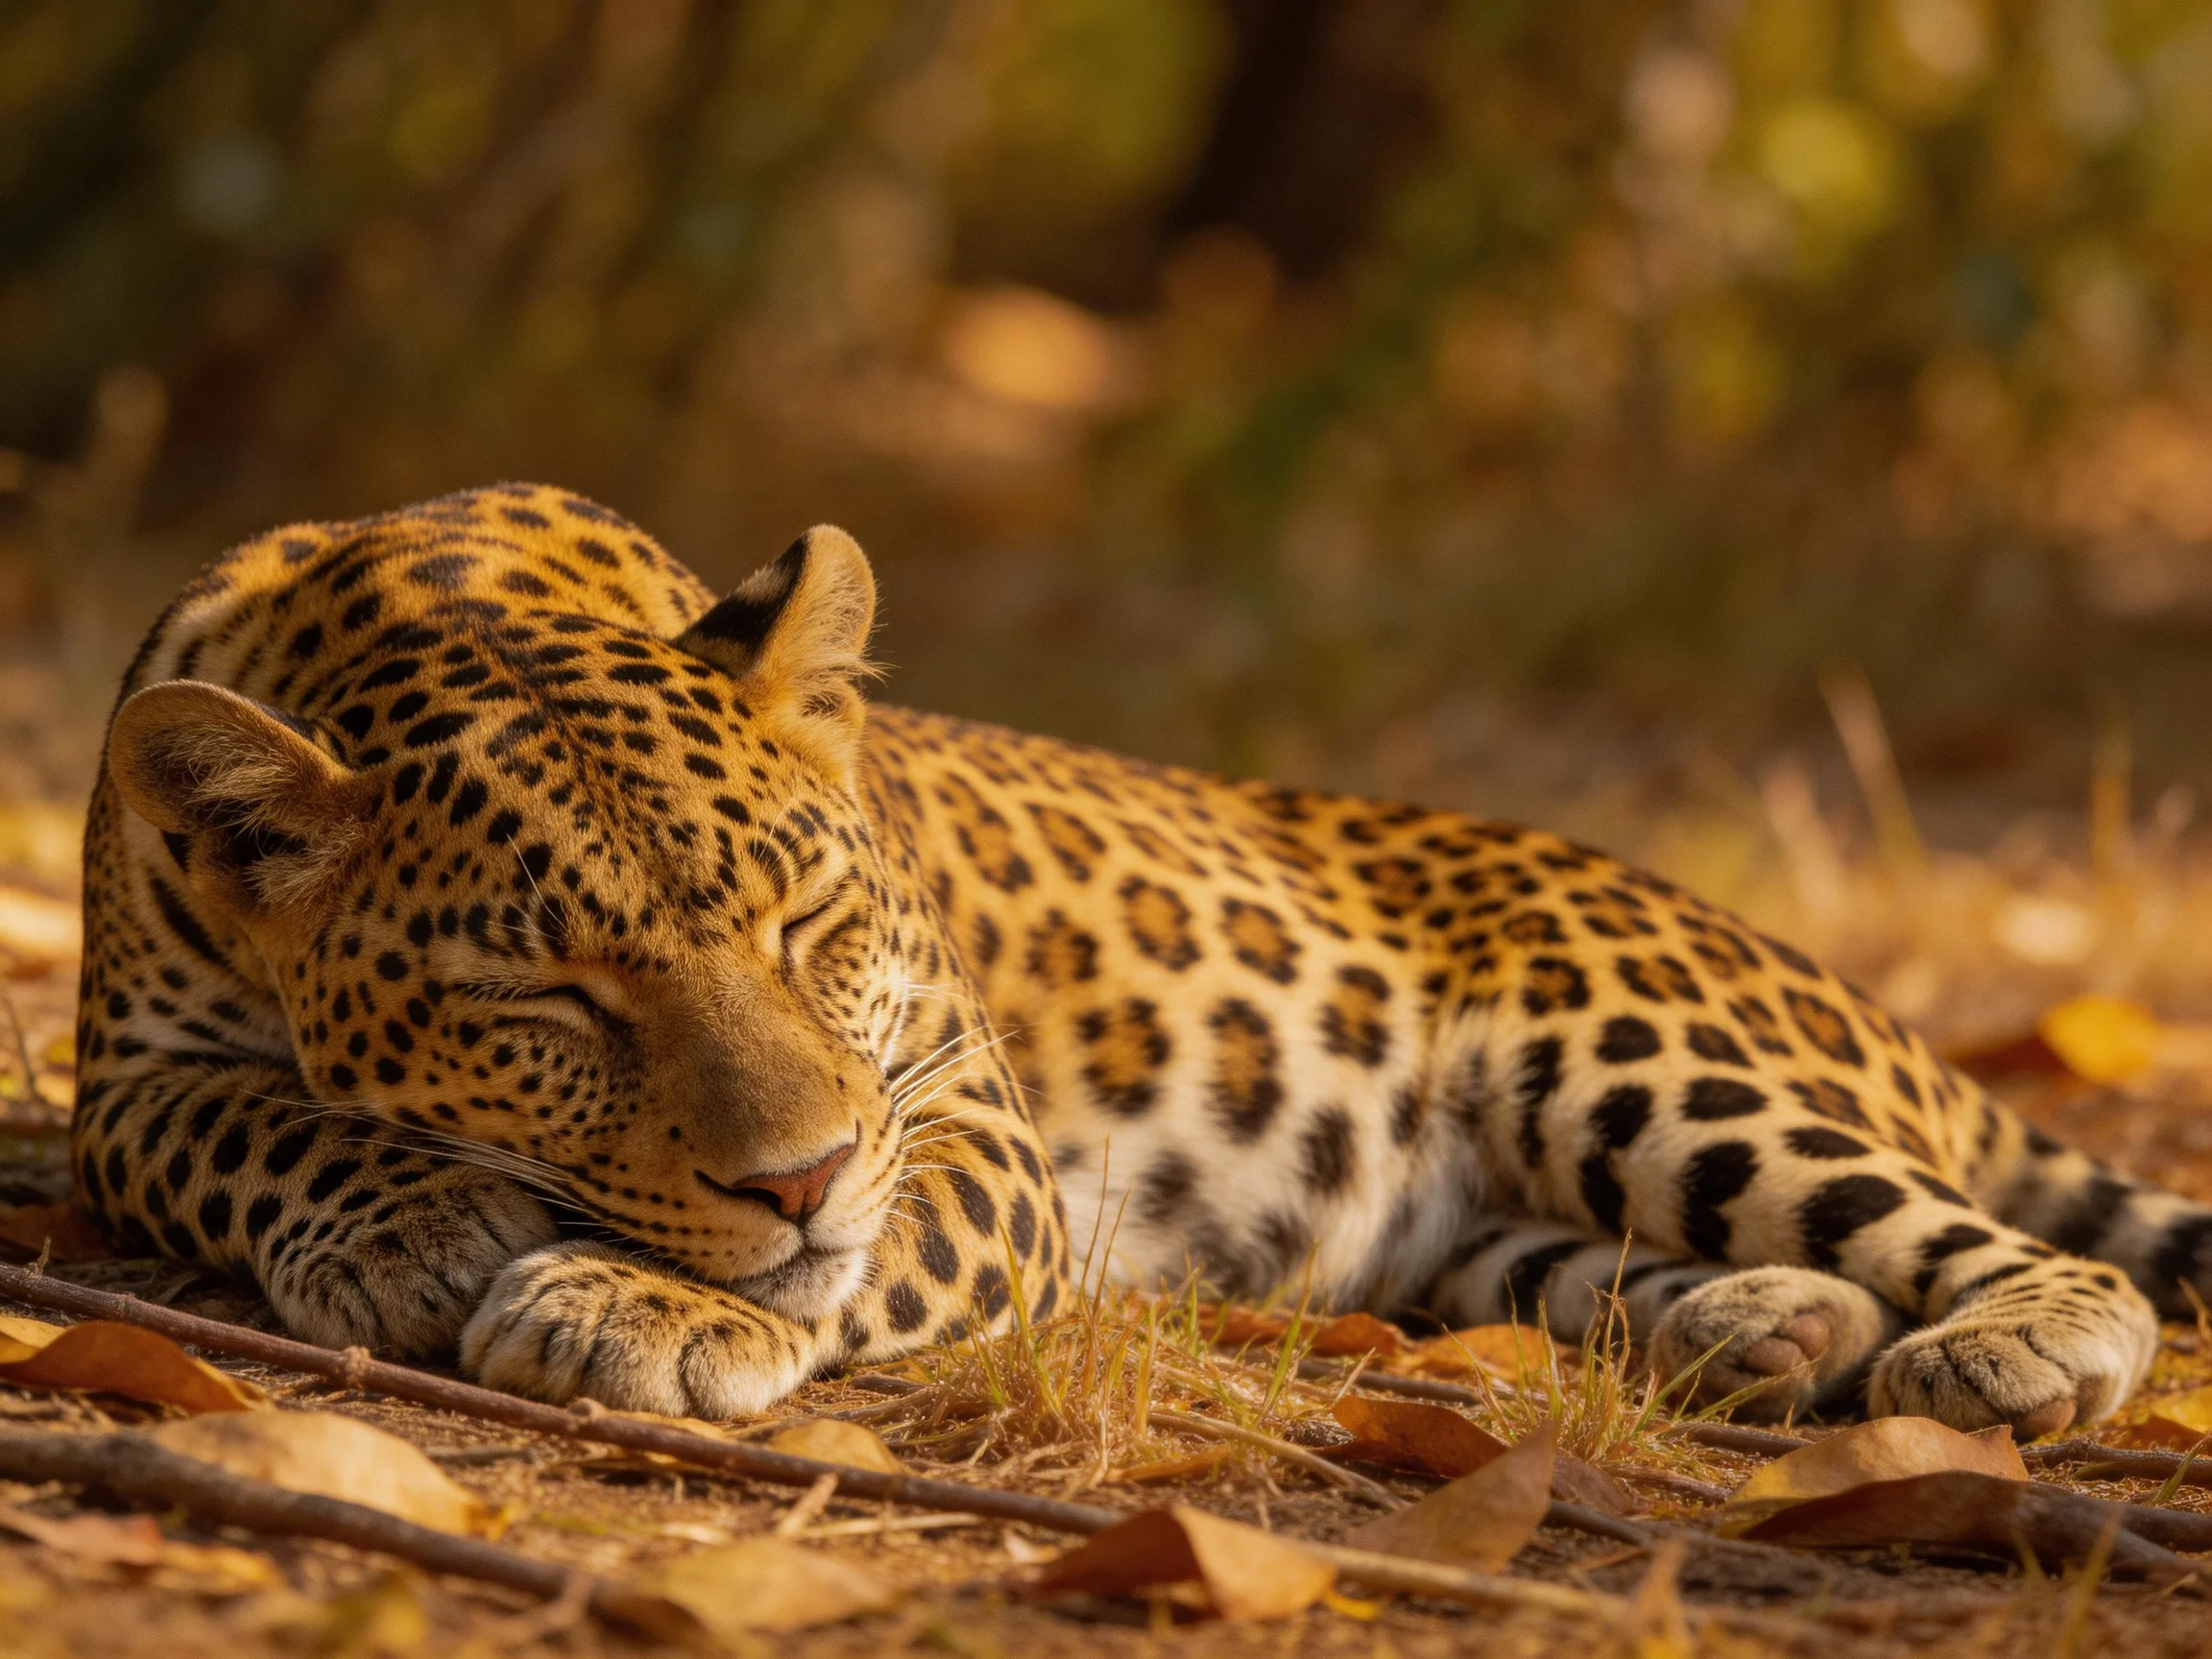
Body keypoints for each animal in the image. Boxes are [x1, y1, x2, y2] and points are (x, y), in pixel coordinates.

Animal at [70, 484, 2212, 1437]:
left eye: (809, 927)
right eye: (548, 1002)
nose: (797, 1175)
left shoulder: (964, 1118)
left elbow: (863, 1249)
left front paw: (639, 1306)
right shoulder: (114, 1083)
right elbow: (229, 1125)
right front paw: (411, 1220)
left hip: (1625, 1050)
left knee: (2035, 1251)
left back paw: (1999, 1352)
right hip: (1475, 1231)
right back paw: (1760, 1327)